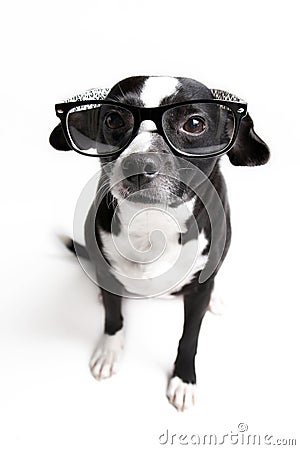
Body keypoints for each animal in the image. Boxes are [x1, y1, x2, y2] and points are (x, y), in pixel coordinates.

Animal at [49, 76, 270, 412]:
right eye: (113, 119)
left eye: (194, 124)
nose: (139, 164)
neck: (154, 223)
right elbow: (112, 318)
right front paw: (110, 351)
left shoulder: (199, 292)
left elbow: (189, 337)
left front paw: (184, 379)